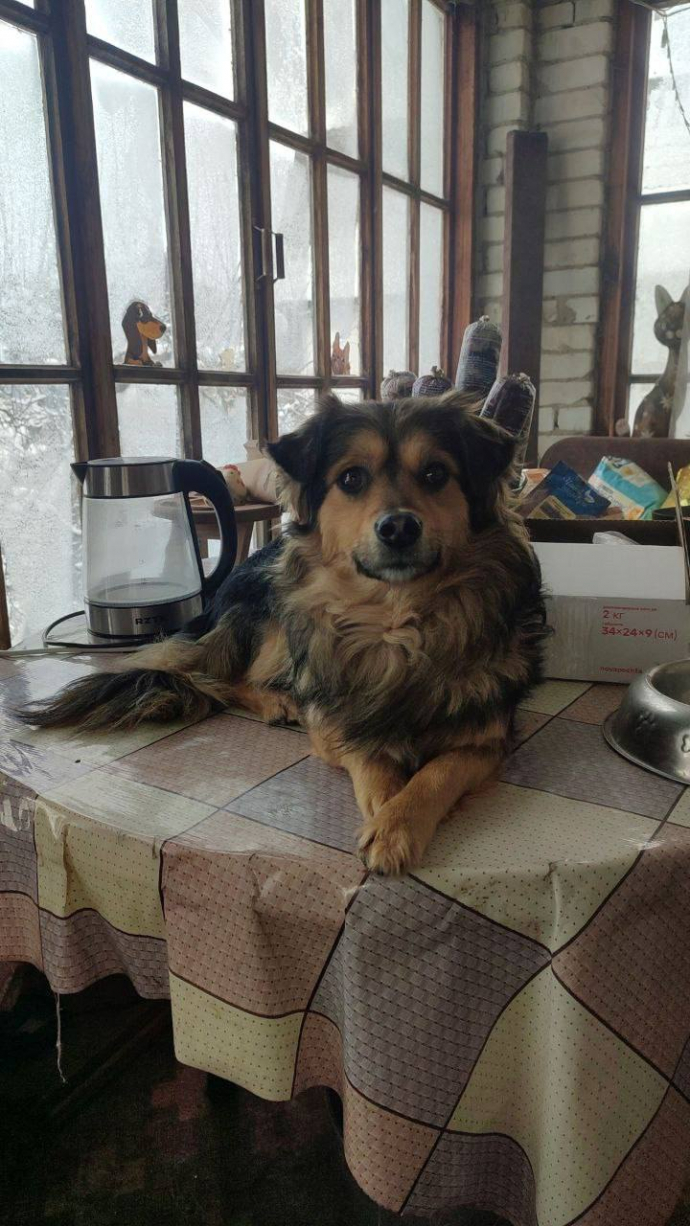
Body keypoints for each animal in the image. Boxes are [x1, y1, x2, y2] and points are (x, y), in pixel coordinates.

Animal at [19, 393, 547, 876]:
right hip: (277, 613)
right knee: (228, 678)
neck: (394, 622)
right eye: (351, 478)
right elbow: (368, 755)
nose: (398, 527)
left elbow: (438, 773)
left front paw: (398, 822)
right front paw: (385, 804)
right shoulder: (332, 722)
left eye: (436, 474)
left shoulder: (489, 736)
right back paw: (277, 700)